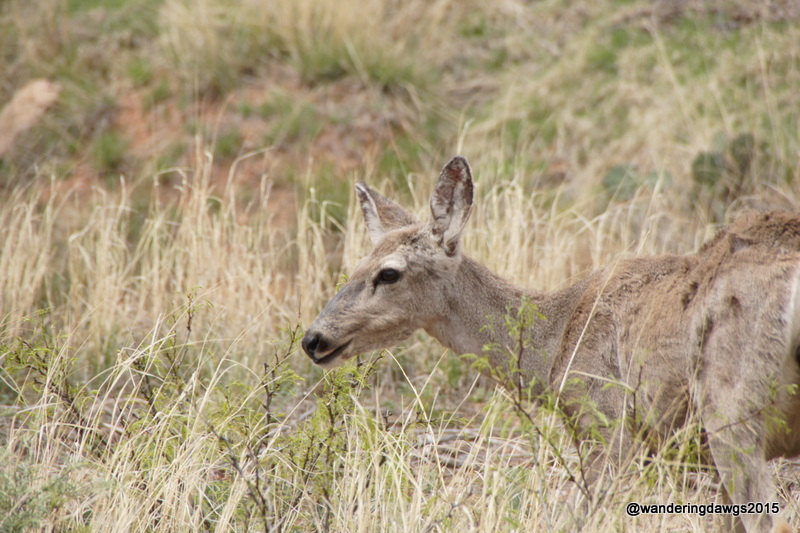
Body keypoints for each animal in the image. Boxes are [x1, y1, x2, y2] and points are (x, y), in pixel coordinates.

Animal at [301, 156, 800, 533]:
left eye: (388, 273)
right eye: (354, 265)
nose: (313, 338)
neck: (554, 342)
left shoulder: (607, 427)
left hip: (731, 411)